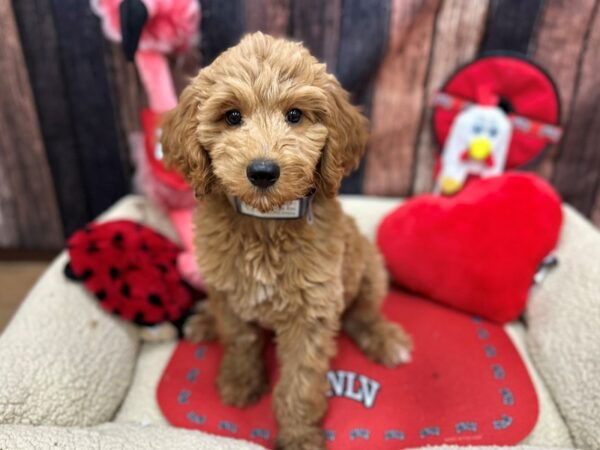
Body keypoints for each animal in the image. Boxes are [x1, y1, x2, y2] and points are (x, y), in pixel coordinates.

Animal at [161, 32, 412, 450]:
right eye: (232, 116)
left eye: (295, 115)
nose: (262, 171)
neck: (265, 222)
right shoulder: (228, 291)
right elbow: (240, 339)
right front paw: (240, 383)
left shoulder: (312, 311)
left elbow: (300, 380)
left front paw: (299, 436)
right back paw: (206, 322)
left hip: (367, 266)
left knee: (363, 311)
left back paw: (385, 339)